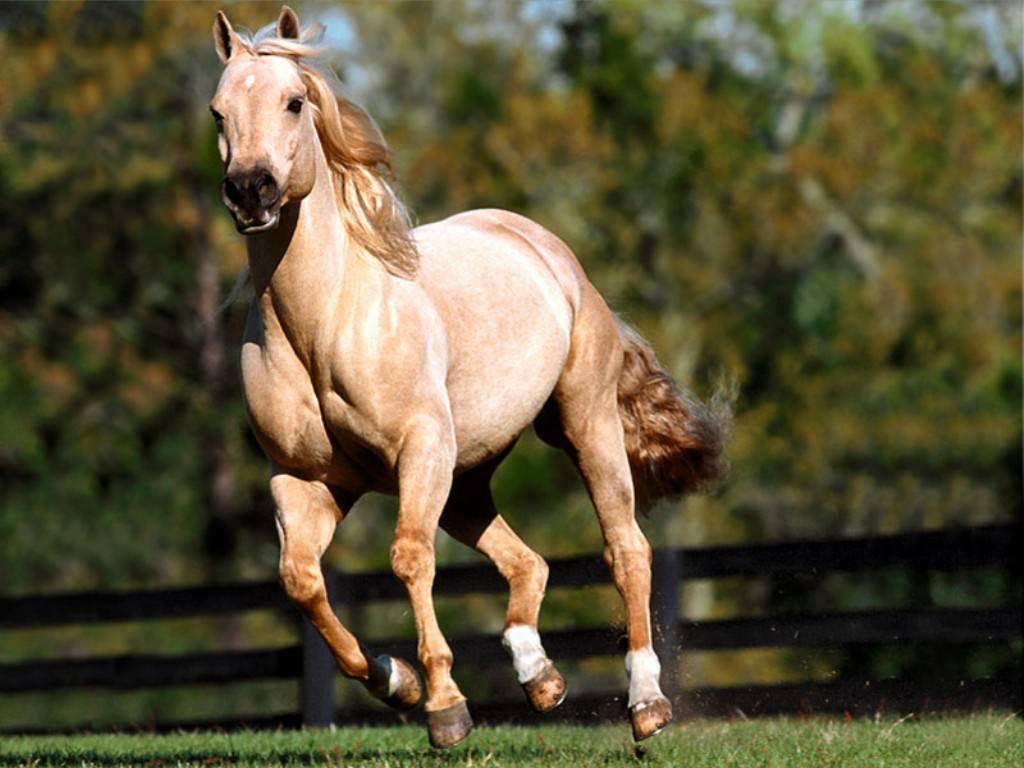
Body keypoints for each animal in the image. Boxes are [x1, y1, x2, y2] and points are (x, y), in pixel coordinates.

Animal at [209, 6, 729, 749]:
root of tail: (549, 251)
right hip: (466, 477)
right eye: (218, 111)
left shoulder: (419, 451)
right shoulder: (305, 480)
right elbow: (300, 582)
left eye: (294, 101)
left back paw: (646, 703)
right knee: (527, 562)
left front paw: (445, 707)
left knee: (625, 549)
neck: (325, 322)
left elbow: (407, 558)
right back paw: (539, 678)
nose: (251, 190)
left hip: (584, 424)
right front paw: (397, 682)